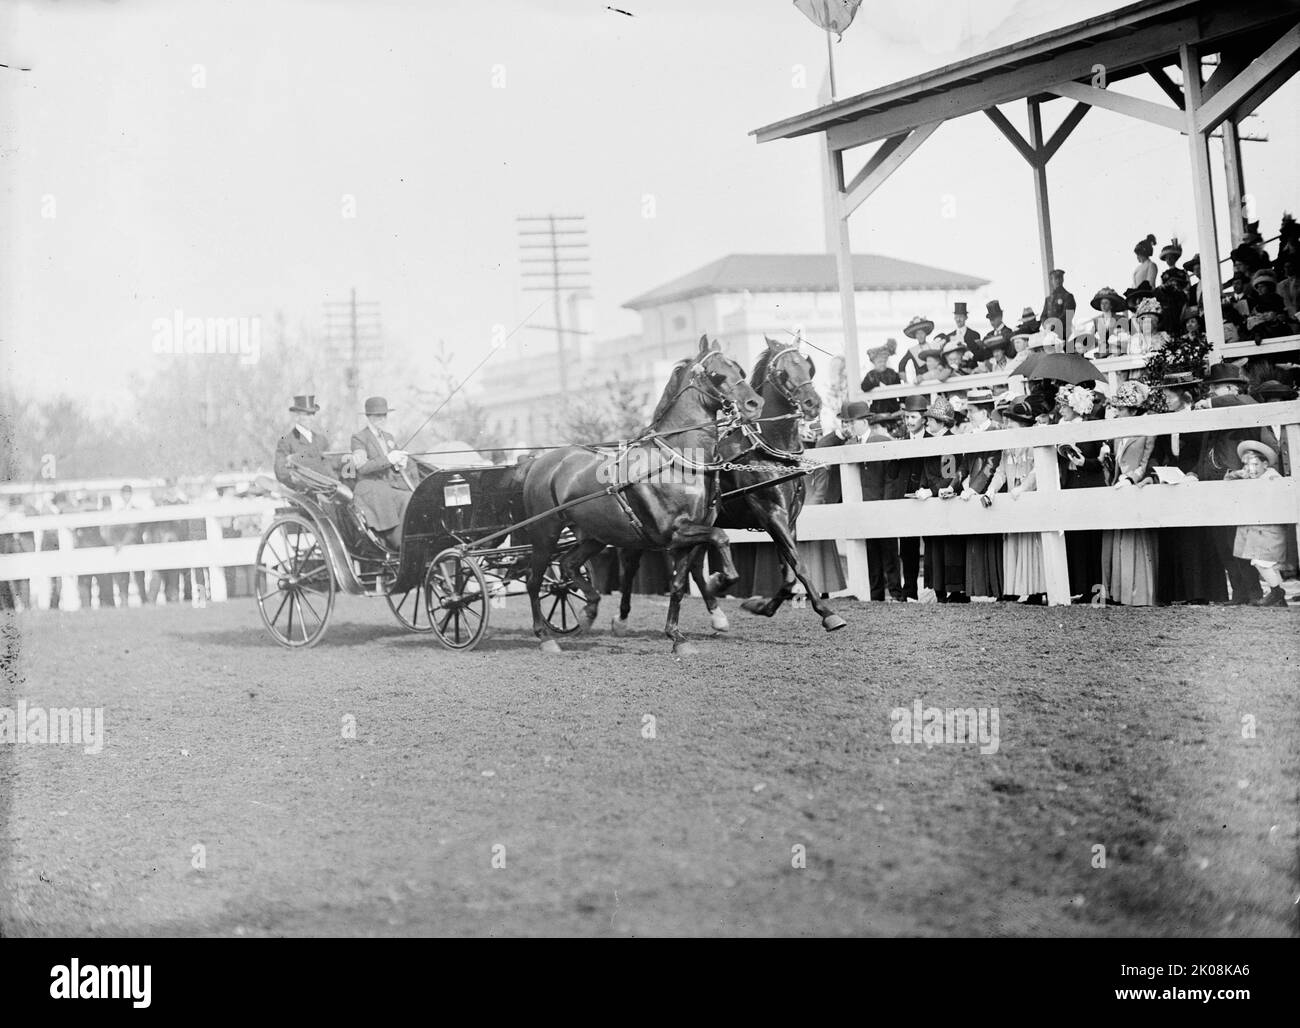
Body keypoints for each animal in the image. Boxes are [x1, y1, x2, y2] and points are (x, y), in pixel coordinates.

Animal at [517, 337, 759, 660]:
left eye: (739, 369)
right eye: (716, 373)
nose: (754, 403)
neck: (679, 461)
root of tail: (538, 462)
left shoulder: (690, 535)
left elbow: (679, 585)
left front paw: (677, 637)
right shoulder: (675, 531)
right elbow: (721, 537)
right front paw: (718, 581)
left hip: (595, 535)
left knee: (568, 564)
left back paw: (589, 610)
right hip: (545, 532)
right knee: (534, 581)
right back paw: (545, 637)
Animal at [611, 340, 847, 634]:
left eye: (807, 366)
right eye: (782, 372)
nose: (812, 403)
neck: (766, 449)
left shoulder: (789, 519)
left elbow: (789, 573)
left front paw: (761, 606)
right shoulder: (772, 513)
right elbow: (799, 566)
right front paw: (828, 613)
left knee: (694, 566)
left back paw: (717, 613)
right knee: (629, 565)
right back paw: (620, 618)